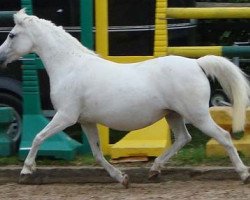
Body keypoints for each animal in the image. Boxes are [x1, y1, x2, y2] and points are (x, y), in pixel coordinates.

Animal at [0, 9, 250, 188]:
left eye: (12, 35)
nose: (0, 57)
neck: (70, 66)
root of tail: (196, 63)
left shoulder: (66, 116)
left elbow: (38, 137)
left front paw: (26, 171)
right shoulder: (86, 121)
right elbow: (97, 154)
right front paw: (122, 178)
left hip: (197, 115)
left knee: (223, 136)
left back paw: (243, 174)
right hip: (174, 115)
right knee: (183, 138)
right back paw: (154, 170)